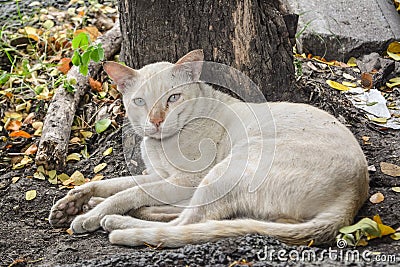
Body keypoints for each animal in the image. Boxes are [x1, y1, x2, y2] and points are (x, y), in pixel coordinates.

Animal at [50, 49, 368, 247]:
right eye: (140, 101)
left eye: (173, 98)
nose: (156, 121)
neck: (160, 145)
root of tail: (355, 195)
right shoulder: (160, 176)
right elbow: (112, 184)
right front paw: (73, 203)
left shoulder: (184, 180)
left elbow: (126, 193)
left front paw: (88, 215)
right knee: (195, 216)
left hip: (225, 170)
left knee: (186, 223)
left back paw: (114, 222)